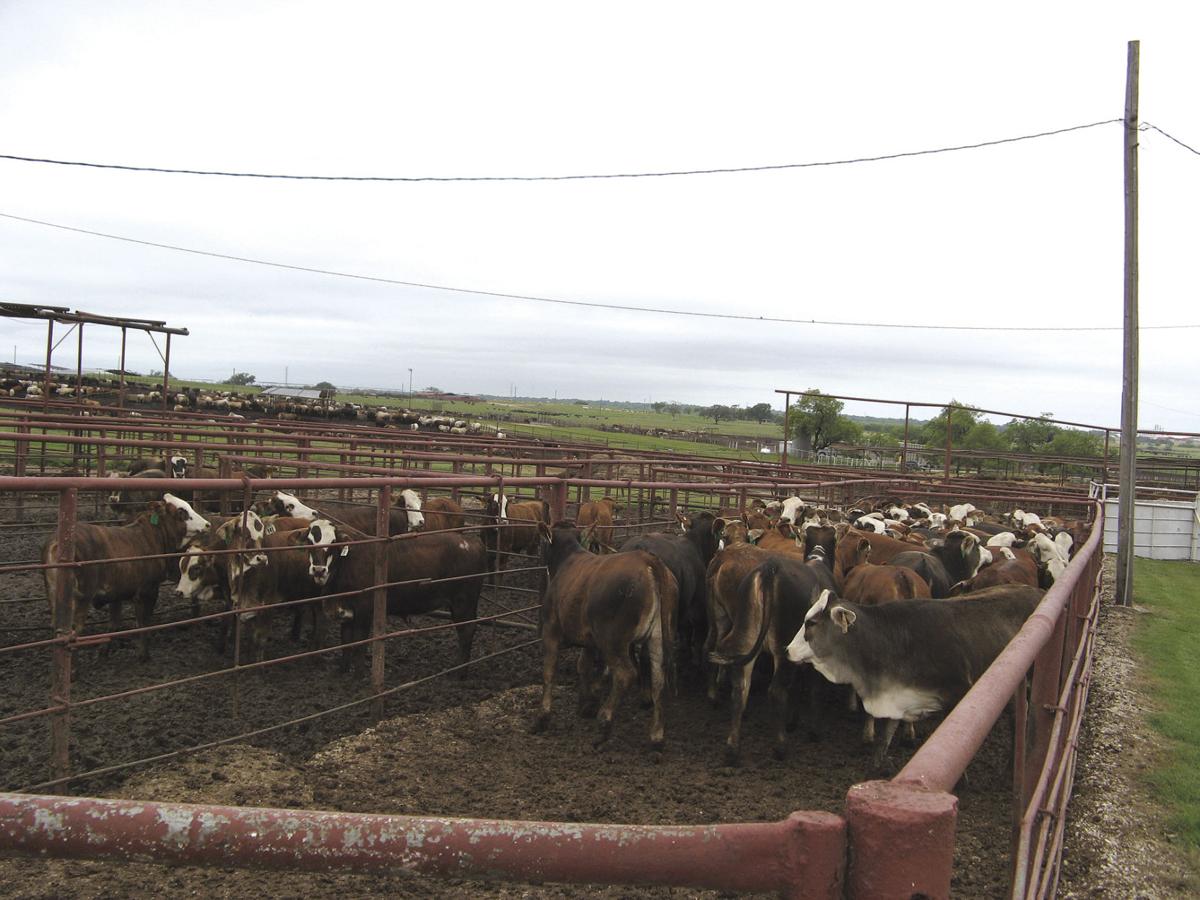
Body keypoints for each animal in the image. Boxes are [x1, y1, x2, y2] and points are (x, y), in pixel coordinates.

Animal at [42, 495, 210, 661]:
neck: (153, 536)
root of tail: (57, 543)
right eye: (181, 512)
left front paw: (104, 651)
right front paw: (143, 655)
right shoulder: (147, 591)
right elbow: (143, 623)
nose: (207, 524)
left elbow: (114, 623)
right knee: (74, 631)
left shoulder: (116, 594)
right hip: (80, 600)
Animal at [532, 522, 678, 750]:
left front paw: (542, 718)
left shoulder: (550, 631)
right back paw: (656, 735)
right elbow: (583, 666)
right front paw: (585, 705)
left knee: (626, 674)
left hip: (613, 640)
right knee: (658, 678)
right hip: (658, 636)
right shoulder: (589, 640)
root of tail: (649, 561)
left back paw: (604, 724)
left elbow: (549, 672)